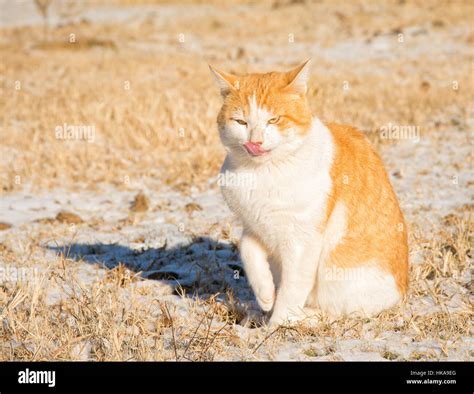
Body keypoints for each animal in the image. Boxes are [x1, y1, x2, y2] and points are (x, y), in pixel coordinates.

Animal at [209, 61, 410, 326]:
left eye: (274, 119)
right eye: (241, 122)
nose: (256, 141)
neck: (262, 172)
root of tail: (402, 293)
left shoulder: (302, 241)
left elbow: (292, 290)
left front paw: (274, 326)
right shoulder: (253, 226)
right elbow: (248, 251)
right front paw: (265, 295)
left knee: (339, 312)